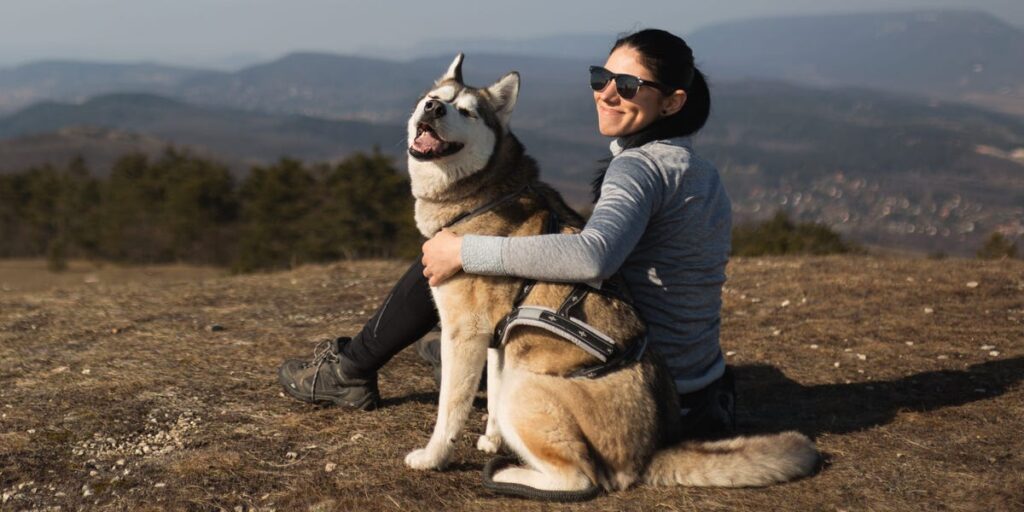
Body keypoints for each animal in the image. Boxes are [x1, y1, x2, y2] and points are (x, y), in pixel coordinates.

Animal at [403, 54, 819, 497]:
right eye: (434, 98)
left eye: (465, 111)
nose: (433, 109)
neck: (481, 193)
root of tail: (651, 452)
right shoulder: (499, 338)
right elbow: (491, 395)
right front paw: (491, 440)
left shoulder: (465, 333)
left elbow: (449, 410)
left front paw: (433, 458)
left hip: (526, 389)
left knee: (581, 477)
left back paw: (509, 475)